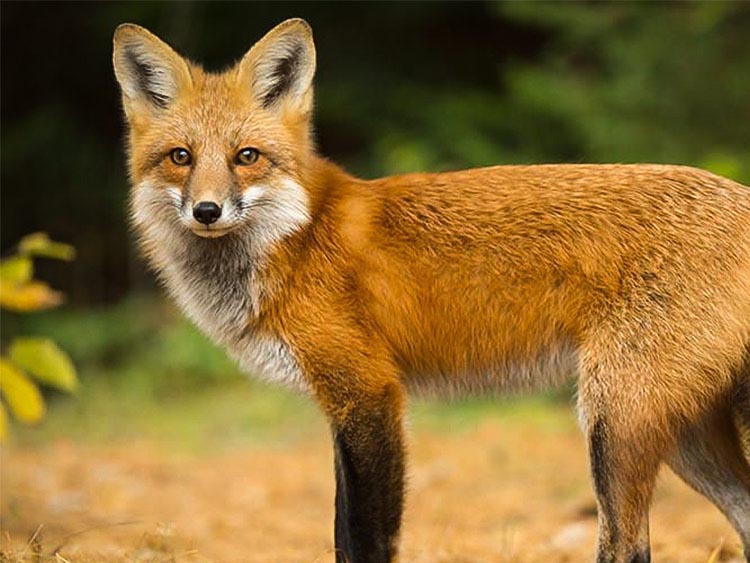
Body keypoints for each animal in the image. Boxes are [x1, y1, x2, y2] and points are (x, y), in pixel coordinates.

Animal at [113, 18, 750, 563]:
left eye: (246, 156)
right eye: (180, 157)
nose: (207, 211)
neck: (296, 240)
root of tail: (736, 193)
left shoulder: (369, 394)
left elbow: (363, 539)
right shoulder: (343, 405)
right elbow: (342, 532)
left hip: (614, 420)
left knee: (630, 546)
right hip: (682, 433)